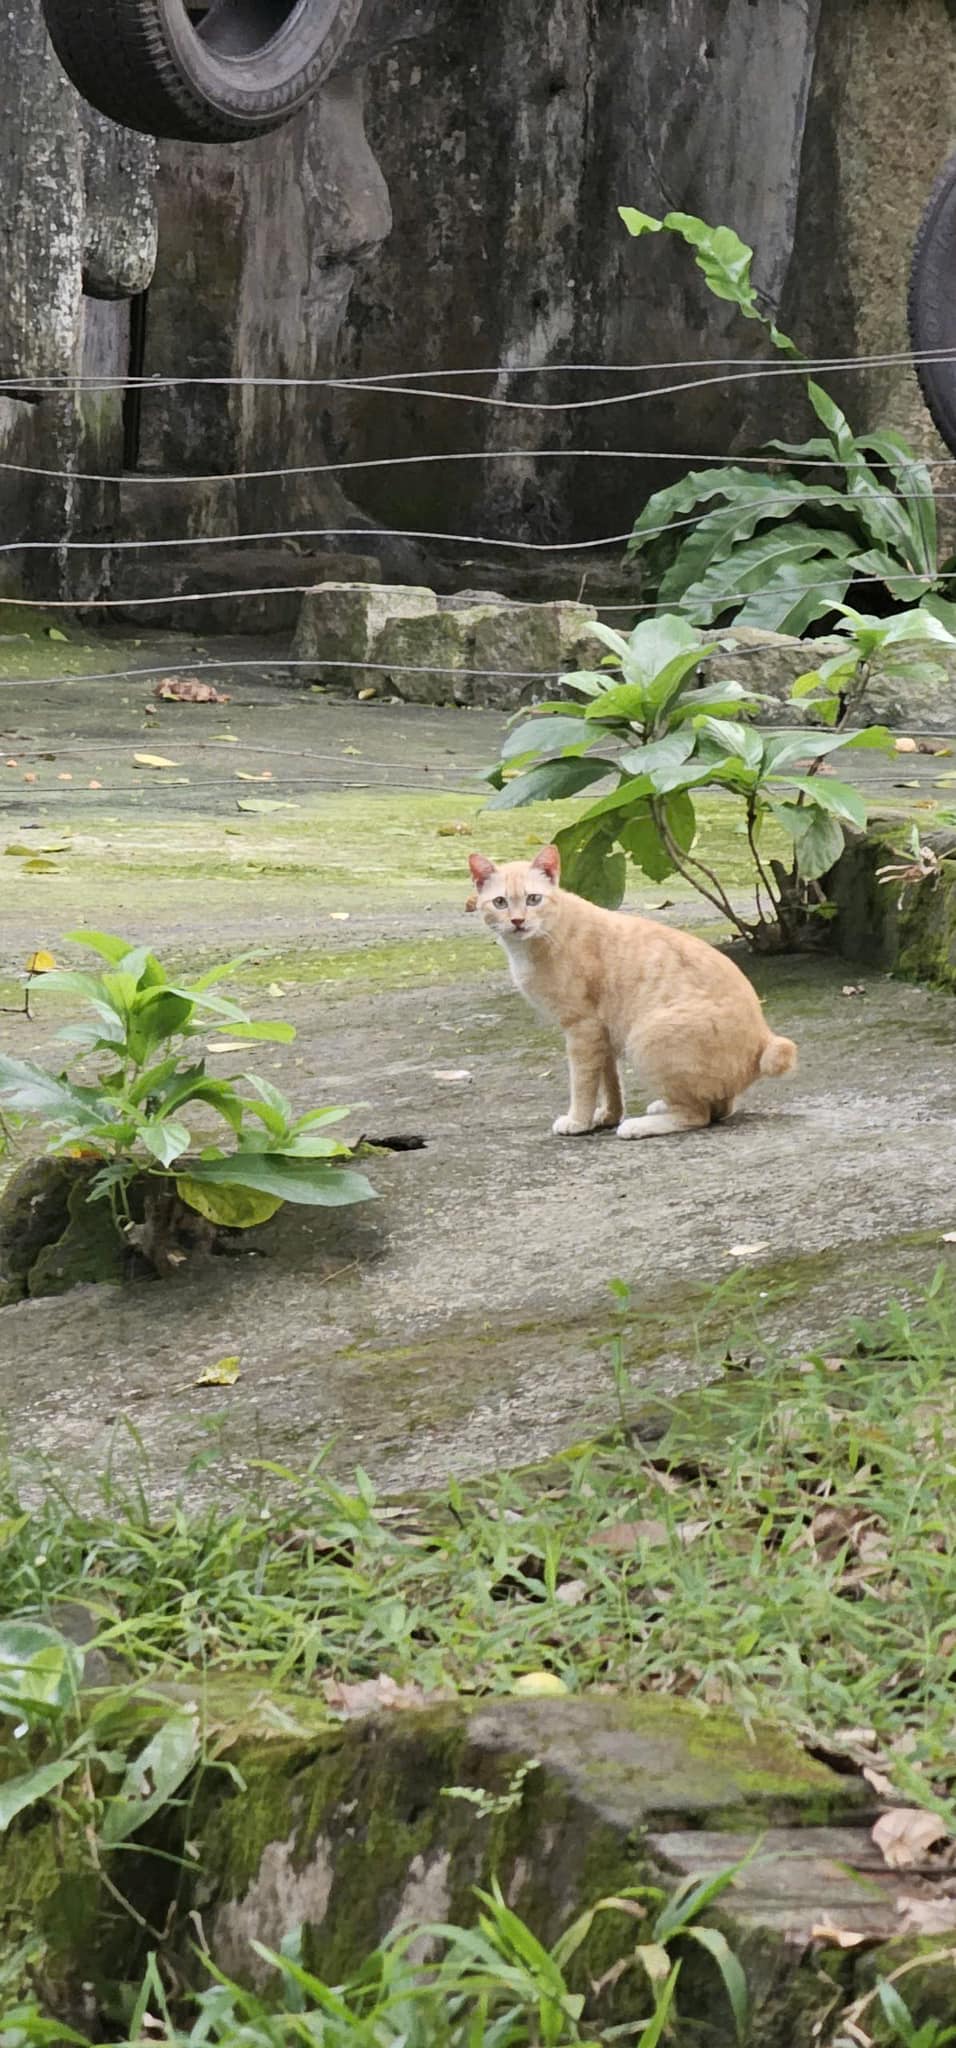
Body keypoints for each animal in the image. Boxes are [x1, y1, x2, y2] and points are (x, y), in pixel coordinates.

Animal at [468, 843, 798, 1146]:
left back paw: (640, 1126)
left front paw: (578, 1121)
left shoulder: (582, 1029)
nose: (517, 921)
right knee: (718, 1107)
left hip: (646, 1035)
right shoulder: (601, 1032)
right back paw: (661, 1107)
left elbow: (583, 1083)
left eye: (533, 899)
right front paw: (607, 1116)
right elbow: (609, 1081)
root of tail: (765, 1039)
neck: (542, 936)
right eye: (500, 902)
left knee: (699, 1115)